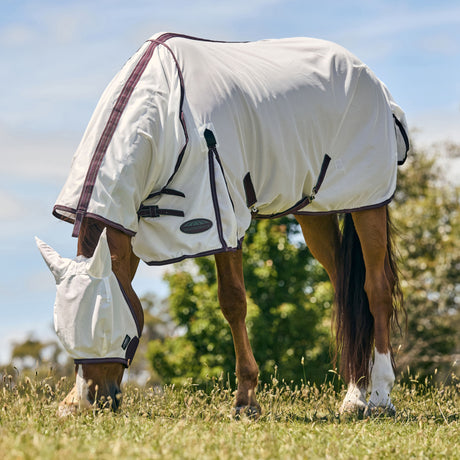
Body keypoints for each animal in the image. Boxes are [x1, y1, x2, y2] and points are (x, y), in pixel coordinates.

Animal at [36, 33, 410, 416]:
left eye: (105, 325)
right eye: (63, 330)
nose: (91, 401)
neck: (168, 113)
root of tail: (367, 75)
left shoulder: (223, 217)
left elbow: (233, 302)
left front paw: (246, 399)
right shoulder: (127, 217)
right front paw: (68, 401)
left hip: (367, 203)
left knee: (376, 288)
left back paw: (380, 396)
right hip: (315, 212)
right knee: (344, 290)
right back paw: (354, 395)